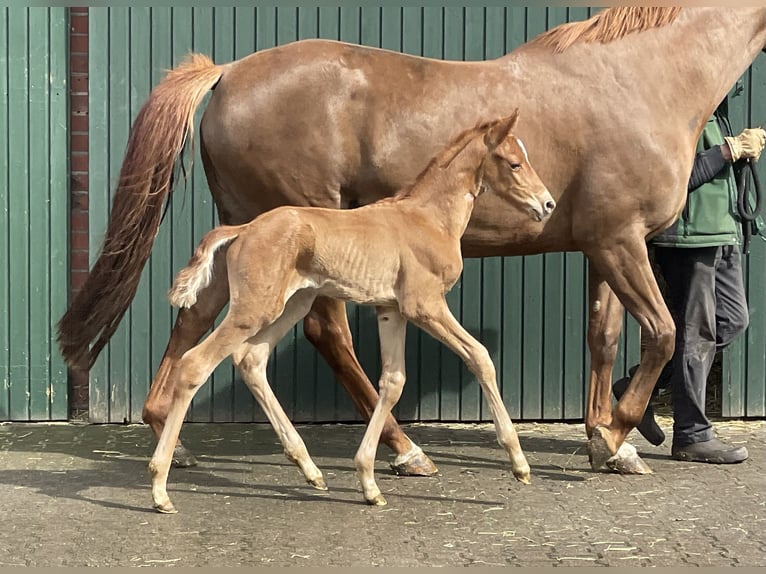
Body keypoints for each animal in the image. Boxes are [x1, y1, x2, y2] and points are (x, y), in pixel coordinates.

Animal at [150, 111, 556, 512]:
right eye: (515, 162)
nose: (548, 204)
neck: (428, 219)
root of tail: (244, 228)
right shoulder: (424, 306)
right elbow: (480, 356)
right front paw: (519, 463)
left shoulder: (391, 309)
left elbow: (393, 381)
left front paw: (369, 482)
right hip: (254, 309)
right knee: (195, 363)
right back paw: (160, 488)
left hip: (292, 304)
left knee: (251, 359)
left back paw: (310, 469)